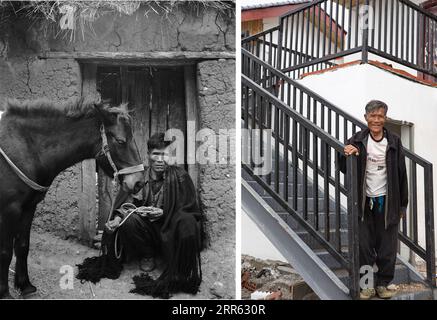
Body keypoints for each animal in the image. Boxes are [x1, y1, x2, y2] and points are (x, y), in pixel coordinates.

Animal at [0, 97, 145, 298]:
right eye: (120, 141)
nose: (139, 182)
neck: (25, 147)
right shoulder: (9, 209)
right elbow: (5, 252)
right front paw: (5, 293)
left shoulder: (29, 207)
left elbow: (22, 246)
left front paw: (25, 285)